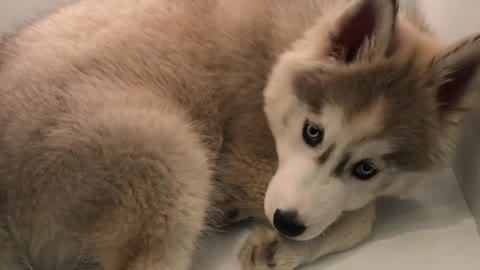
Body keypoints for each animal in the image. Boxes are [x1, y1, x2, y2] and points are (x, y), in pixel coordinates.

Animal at [0, 0, 480, 270]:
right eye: (312, 132)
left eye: (367, 169)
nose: (287, 224)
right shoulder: (245, 158)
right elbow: (364, 216)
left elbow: (357, 207)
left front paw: (284, 246)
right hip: (170, 151)